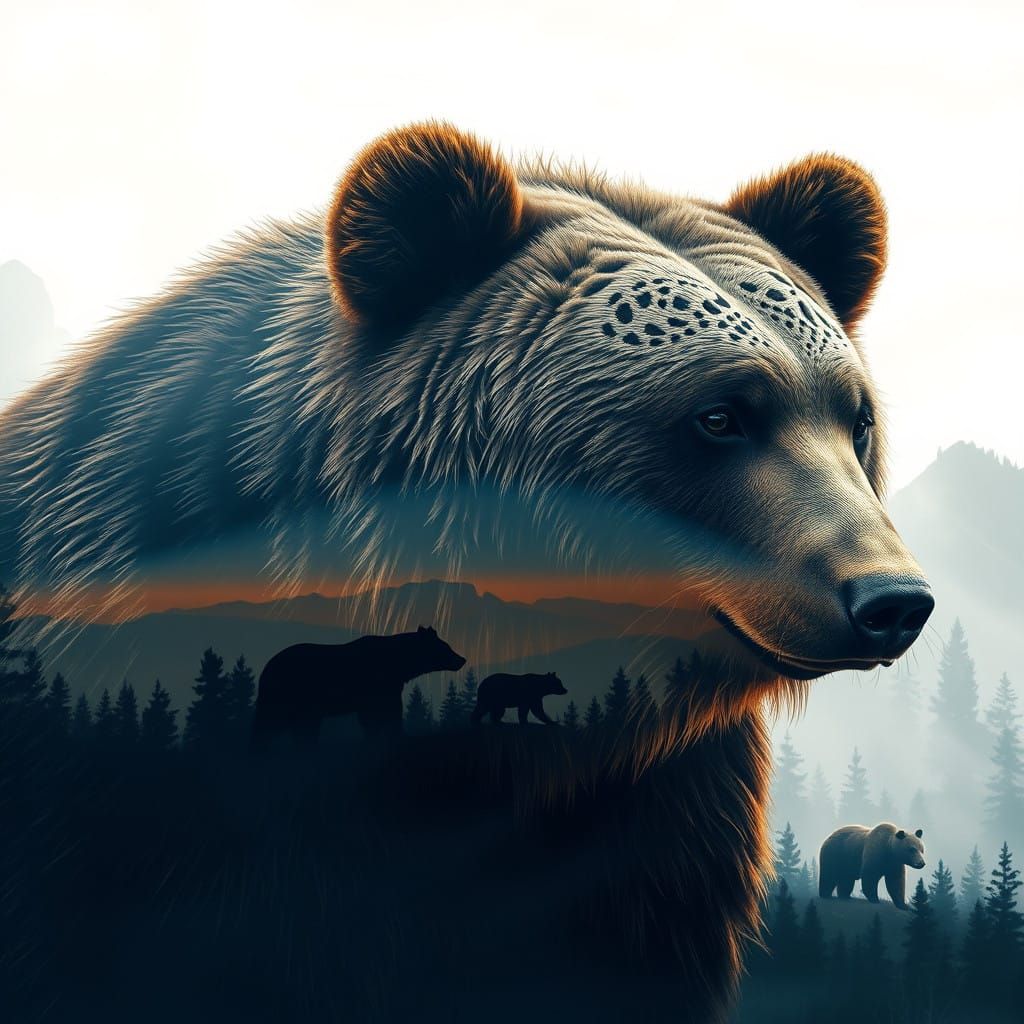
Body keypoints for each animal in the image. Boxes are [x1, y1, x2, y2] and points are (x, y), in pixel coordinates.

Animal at [251, 626, 466, 747]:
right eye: (446, 646)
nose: (462, 659)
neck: (399, 664)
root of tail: (266, 668)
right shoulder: (378, 687)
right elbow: (385, 714)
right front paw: (395, 735)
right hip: (288, 692)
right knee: (271, 722)